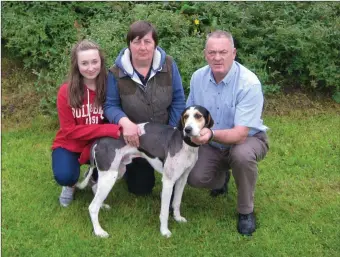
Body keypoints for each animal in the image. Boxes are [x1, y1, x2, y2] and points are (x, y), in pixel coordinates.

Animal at [78, 105, 214, 237]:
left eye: (198, 116)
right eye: (186, 116)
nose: (187, 129)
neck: (185, 143)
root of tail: (99, 140)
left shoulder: (182, 179)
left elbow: (177, 202)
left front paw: (177, 218)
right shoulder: (168, 182)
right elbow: (164, 212)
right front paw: (164, 231)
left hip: (116, 172)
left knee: (95, 187)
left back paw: (102, 206)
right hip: (109, 177)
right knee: (92, 207)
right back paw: (98, 231)